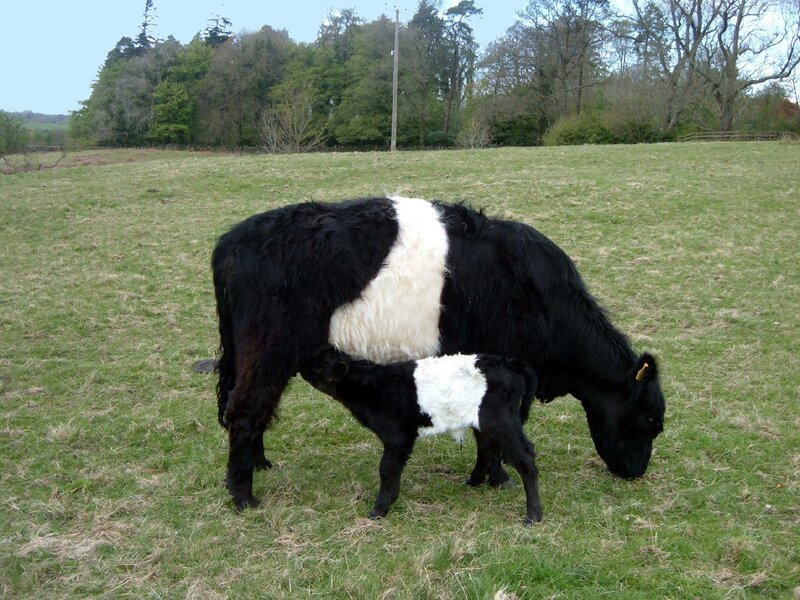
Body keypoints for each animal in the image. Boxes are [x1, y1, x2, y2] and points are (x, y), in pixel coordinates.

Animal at [212, 196, 665, 510]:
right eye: (648, 420)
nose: (636, 473)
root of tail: (231, 240)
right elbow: (494, 430)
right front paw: (497, 476)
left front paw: (488, 475)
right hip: (270, 348)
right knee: (245, 408)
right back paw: (243, 496)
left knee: (251, 405)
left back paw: (257, 463)